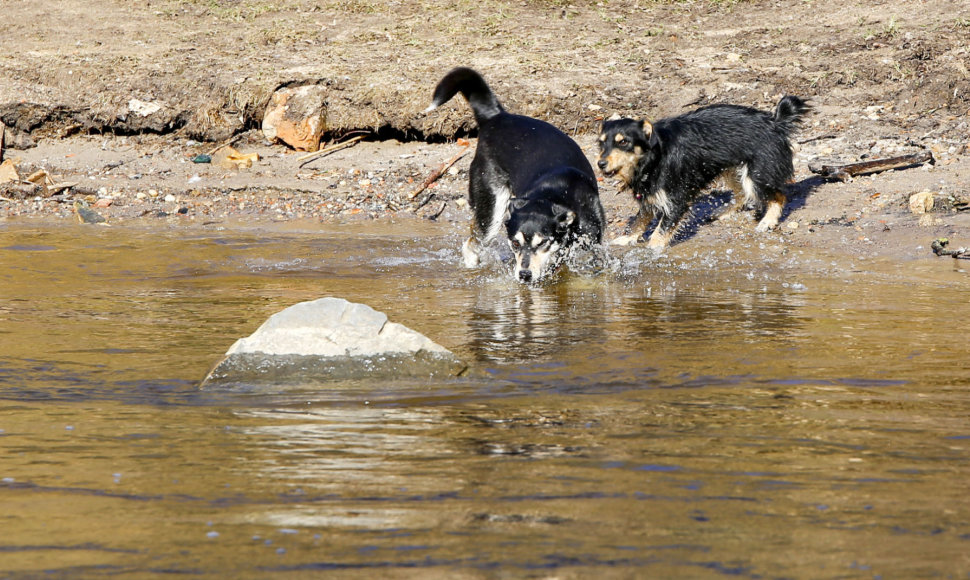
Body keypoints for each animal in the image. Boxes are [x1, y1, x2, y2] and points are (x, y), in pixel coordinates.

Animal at [426, 67, 604, 282]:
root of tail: (496, 118)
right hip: (491, 211)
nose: (524, 275)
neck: (557, 193)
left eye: (542, 243)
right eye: (515, 243)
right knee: (471, 245)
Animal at [596, 97, 808, 249]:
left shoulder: (677, 198)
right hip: (730, 168)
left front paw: (651, 250)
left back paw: (768, 221)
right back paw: (722, 211)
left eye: (623, 142)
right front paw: (627, 239)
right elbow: (639, 219)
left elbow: (661, 230)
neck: (655, 156)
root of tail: (774, 121)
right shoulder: (649, 193)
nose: (600, 163)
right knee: (741, 193)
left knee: (778, 196)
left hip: (757, 175)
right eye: (601, 143)